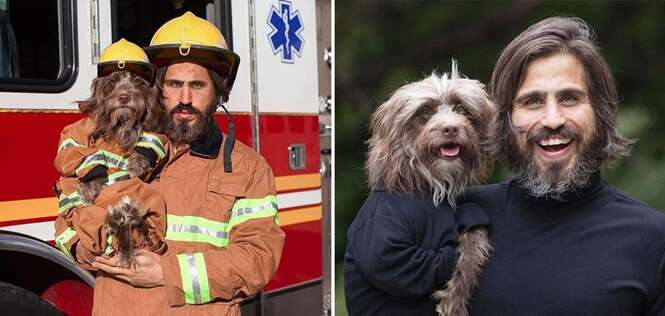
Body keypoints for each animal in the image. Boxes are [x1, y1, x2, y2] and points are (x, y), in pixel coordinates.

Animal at [368, 61, 492, 316]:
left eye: (461, 109)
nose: (451, 128)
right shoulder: (384, 237)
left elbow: (472, 245)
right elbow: (402, 265)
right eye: (425, 112)